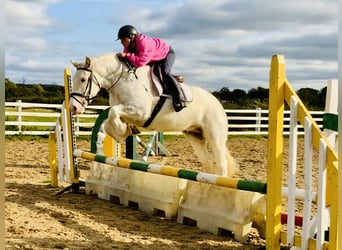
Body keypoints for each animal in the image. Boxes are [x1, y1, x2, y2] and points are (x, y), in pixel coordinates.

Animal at [68, 53, 236, 177]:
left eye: (83, 79)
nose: (73, 107)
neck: (123, 81)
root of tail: (218, 103)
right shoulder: (127, 113)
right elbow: (110, 120)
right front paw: (124, 131)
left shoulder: (141, 111)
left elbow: (113, 112)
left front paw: (122, 132)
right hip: (195, 136)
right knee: (208, 164)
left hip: (214, 137)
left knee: (221, 164)